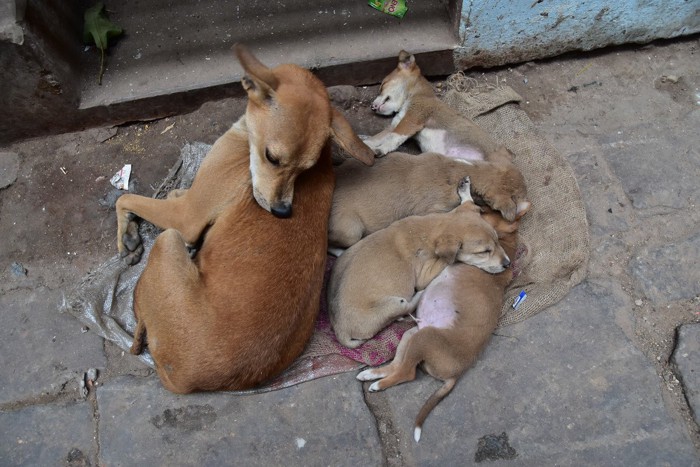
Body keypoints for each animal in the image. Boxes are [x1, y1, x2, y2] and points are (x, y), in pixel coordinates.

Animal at [119, 45, 378, 394]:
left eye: (302, 169)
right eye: (274, 158)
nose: (282, 212)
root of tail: (187, 378)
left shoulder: (186, 218)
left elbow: (125, 199)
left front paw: (127, 230)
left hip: (167, 241)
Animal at [328, 177, 508, 350]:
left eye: (497, 240)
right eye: (484, 252)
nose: (507, 264)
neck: (435, 227)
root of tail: (341, 331)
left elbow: (466, 205)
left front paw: (465, 189)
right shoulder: (424, 273)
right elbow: (447, 260)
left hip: (349, 252)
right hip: (394, 303)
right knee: (405, 307)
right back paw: (419, 295)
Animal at [356, 207, 532, 440]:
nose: (507, 264)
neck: (509, 241)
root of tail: (456, 374)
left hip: (424, 337)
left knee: (407, 373)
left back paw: (378, 384)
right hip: (412, 336)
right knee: (397, 365)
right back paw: (371, 374)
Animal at [364, 50, 500, 161]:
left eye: (383, 85)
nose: (371, 107)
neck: (416, 94)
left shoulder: (411, 120)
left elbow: (391, 138)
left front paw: (380, 149)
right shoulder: (396, 124)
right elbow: (376, 138)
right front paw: (365, 144)